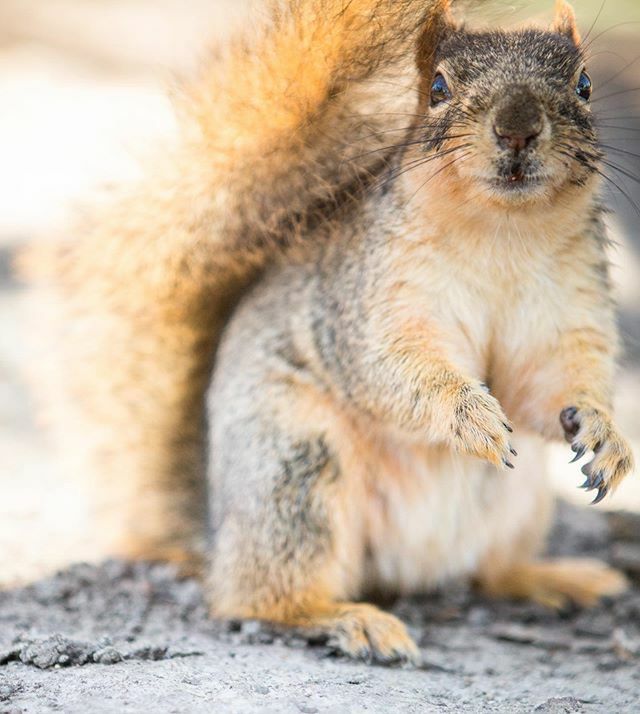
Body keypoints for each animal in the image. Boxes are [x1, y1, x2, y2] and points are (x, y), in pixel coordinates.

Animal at [25, 0, 635, 665]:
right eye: (438, 88)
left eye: (584, 84)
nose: (518, 129)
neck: (504, 233)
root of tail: (215, 536)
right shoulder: (363, 303)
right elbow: (388, 369)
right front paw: (469, 414)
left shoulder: (573, 305)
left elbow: (548, 383)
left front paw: (606, 435)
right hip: (294, 469)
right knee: (256, 597)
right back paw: (344, 618)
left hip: (518, 505)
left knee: (487, 573)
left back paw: (553, 578)